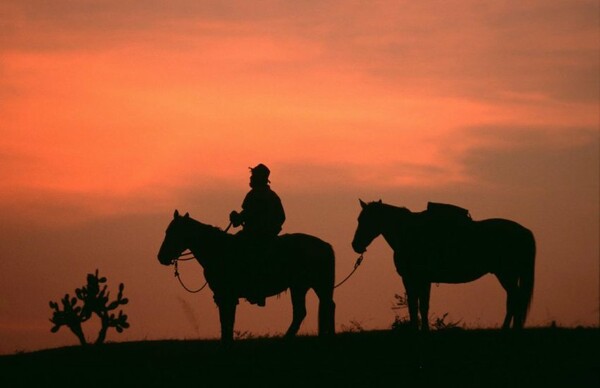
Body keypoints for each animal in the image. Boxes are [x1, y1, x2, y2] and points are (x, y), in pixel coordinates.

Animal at [157, 212, 336, 342]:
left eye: (173, 232)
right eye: (166, 231)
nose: (161, 257)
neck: (217, 249)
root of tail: (325, 245)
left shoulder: (225, 295)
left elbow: (227, 320)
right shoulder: (225, 296)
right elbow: (227, 320)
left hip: (309, 286)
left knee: (314, 309)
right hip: (306, 286)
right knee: (318, 308)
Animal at [350, 200, 536, 330]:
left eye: (366, 220)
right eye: (359, 219)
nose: (356, 245)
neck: (408, 233)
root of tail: (524, 231)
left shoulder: (415, 278)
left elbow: (418, 306)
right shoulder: (418, 280)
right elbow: (419, 306)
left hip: (506, 274)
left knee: (514, 299)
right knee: (514, 299)